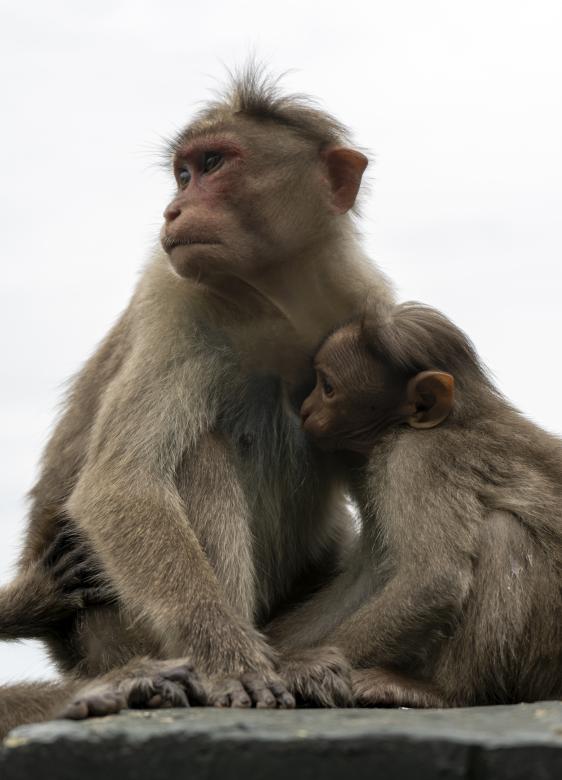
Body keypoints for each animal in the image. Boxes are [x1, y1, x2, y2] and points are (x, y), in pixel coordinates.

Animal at [0, 65, 394, 735]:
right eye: (183, 174)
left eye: (214, 164)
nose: (174, 207)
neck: (272, 299)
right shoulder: (173, 298)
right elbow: (120, 485)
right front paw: (229, 658)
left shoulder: (367, 305)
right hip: (117, 628)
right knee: (198, 451)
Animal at [266, 301, 562, 708]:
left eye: (327, 388)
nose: (307, 409)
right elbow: (369, 578)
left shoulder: (415, 458)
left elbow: (432, 580)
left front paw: (296, 668)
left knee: (503, 533)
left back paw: (442, 692)